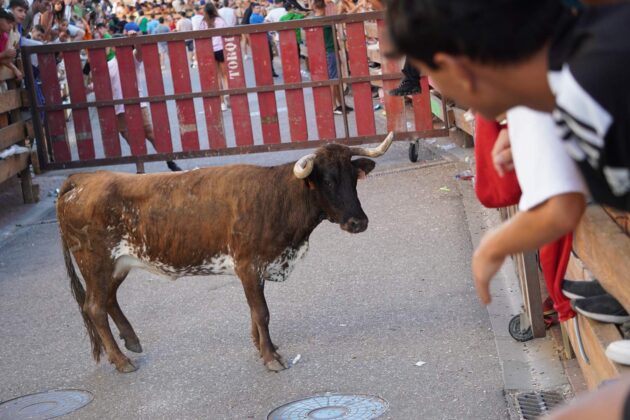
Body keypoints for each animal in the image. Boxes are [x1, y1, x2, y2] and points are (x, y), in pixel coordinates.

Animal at [59, 133, 396, 372]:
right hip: (96, 262)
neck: (278, 197)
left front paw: (261, 346)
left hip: (118, 264)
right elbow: (261, 311)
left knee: (107, 299)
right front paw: (271, 357)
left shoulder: (255, 269)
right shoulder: (248, 265)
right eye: (326, 179)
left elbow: (255, 310)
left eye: (353, 178)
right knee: (94, 307)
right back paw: (121, 360)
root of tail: (83, 179)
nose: (358, 222)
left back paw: (131, 340)